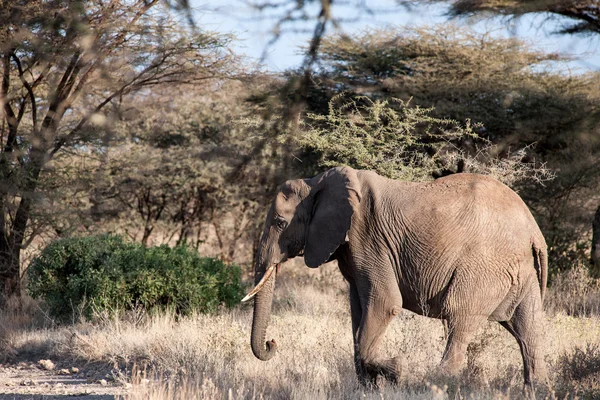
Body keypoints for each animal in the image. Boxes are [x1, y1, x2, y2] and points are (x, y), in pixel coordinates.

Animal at [244, 164, 548, 386]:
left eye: (280, 223)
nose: (272, 342)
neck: (316, 182)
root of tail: (534, 231)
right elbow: (358, 312)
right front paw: (368, 387)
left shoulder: (368, 238)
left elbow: (384, 304)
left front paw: (396, 370)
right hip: (519, 270)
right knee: (528, 329)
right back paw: (536, 389)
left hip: (485, 265)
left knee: (460, 319)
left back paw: (433, 384)